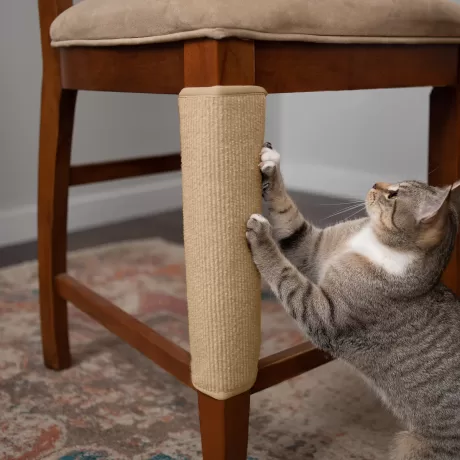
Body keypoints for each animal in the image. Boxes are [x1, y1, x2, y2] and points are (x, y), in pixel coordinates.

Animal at [248, 143, 460, 460]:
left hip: (414, 447)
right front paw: (271, 165)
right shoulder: (312, 247)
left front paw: (260, 235)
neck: (373, 241)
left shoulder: (321, 314)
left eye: (394, 195)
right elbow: (290, 220)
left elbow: (284, 273)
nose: (375, 183)